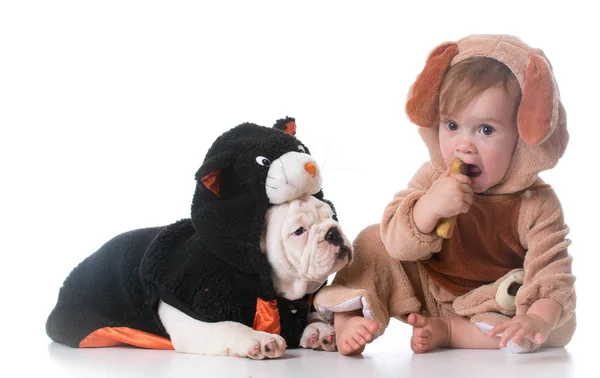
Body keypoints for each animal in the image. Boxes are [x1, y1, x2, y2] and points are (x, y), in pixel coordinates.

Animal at [157, 195, 354, 360]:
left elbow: (313, 315)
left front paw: (320, 329)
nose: (333, 232)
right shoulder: (187, 317)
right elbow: (228, 325)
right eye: (299, 231)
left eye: (332, 217)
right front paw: (258, 338)